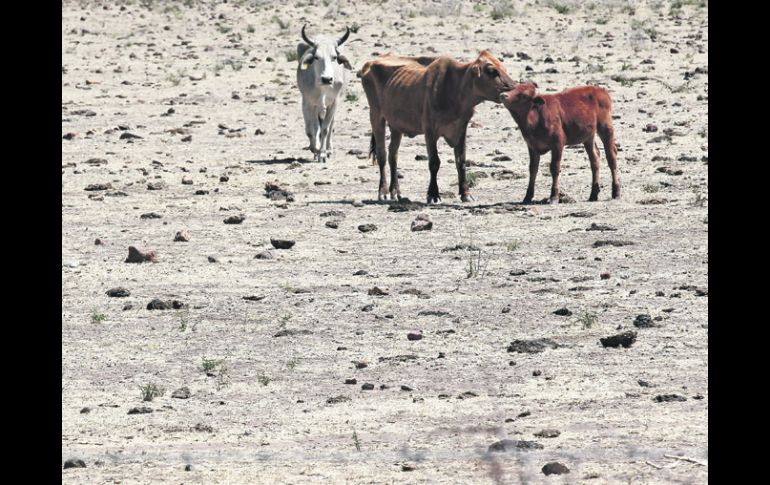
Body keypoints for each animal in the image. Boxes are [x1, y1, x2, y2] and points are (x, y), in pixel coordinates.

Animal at [296, 25, 352, 163]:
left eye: (334, 57)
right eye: (316, 57)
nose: (327, 79)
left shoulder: (334, 103)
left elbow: (326, 128)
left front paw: (322, 153)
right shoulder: (308, 103)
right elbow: (311, 129)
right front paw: (315, 149)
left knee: (329, 125)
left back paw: (329, 150)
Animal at [360, 49, 516, 200]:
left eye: (503, 68)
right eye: (491, 71)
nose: (513, 88)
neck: (455, 89)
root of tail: (371, 62)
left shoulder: (461, 129)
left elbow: (461, 161)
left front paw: (466, 194)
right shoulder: (430, 130)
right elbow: (434, 162)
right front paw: (433, 194)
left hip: (396, 125)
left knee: (393, 154)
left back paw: (396, 192)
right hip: (376, 115)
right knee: (382, 154)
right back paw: (383, 192)